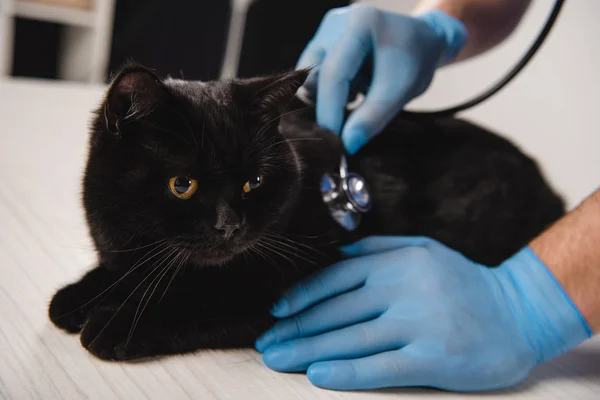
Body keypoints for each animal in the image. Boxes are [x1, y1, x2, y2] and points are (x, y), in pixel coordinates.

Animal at [49, 64, 564, 360]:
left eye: (254, 182)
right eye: (183, 185)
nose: (230, 225)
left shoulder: (274, 283)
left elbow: (200, 300)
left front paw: (117, 322)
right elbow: (118, 272)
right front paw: (77, 297)